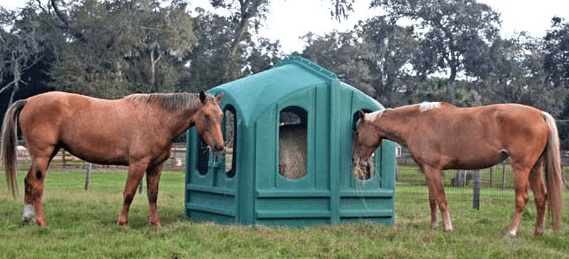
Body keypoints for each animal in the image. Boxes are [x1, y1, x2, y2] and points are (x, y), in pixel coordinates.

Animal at [2, 91, 224, 228]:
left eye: (221, 115)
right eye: (206, 116)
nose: (219, 147)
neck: (158, 119)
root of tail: (28, 100)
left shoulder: (156, 166)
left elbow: (152, 195)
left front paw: (155, 223)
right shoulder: (138, 164)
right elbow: (129, 193)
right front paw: (123, 222)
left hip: (47, 154)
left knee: (29, 182)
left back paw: (27, 218)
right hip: (43, 154)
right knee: (37, 186)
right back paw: (41, 221)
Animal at [352, 102, 560, 237]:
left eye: (357, 132)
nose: (358, 160)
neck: (416, 123)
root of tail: (541, 114)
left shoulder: (433, 169)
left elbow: (441, 199)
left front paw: (447, 227)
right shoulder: (428, 170)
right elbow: (432, 200)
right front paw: (434, 225)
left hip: (521, 168)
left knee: (522, 198)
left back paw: (512, 231)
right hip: (534, 169)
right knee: (541, 196)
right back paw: (538, 231)